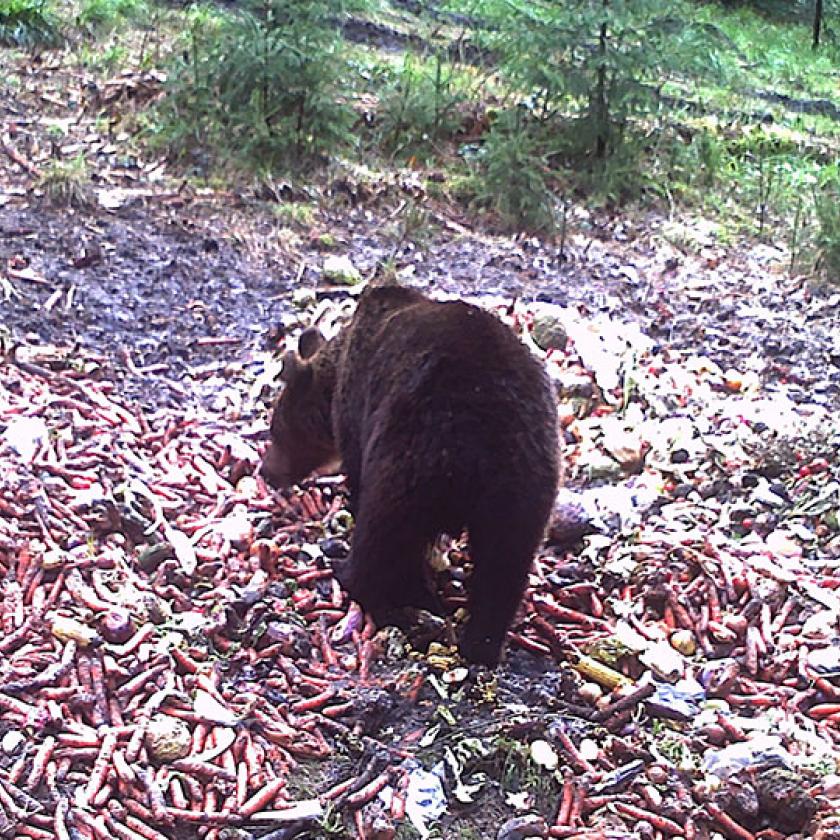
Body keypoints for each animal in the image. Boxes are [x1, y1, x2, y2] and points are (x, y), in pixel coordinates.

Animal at [260, 286, 556, 668]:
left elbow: (357, 478)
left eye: (276, 429)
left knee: (383, 532)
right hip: (524, 483)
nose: (266, 471)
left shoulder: (357, 413)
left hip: (410, 451)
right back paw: (482, 643)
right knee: (505, 563)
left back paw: (354, 575)